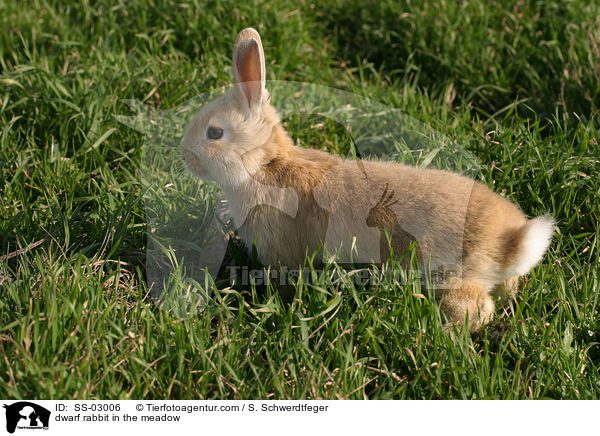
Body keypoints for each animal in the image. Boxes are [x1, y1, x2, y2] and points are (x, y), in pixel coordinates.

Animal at [183, 28, 552, 330]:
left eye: (214, 133)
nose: (186, 154)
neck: (266, 165)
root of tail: (511, 240)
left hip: (452, 276)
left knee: (477, 309)